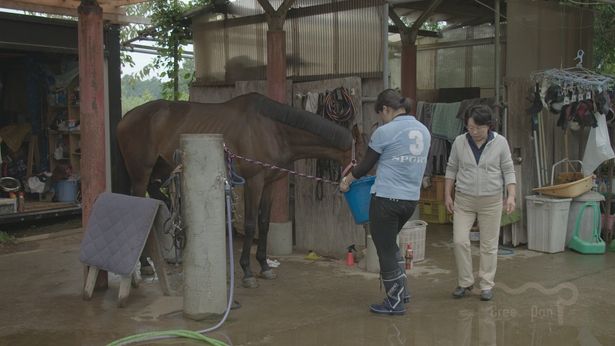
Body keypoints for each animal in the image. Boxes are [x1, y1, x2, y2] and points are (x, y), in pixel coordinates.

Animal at [117, 92, 366, 286]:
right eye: (364, 157)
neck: (274, 130)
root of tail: (126, 118)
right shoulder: (254, 181)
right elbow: (250, 224)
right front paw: (247, 271)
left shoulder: (270, 183)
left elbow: (264, 223)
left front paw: (264, 266)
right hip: (140, 174)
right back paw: (144, 265)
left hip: (160, 169)